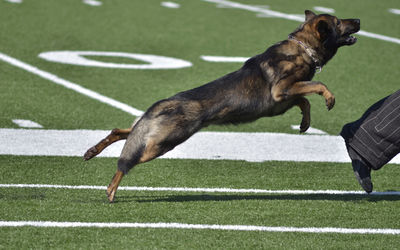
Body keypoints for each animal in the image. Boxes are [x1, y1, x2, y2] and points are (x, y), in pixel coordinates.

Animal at [83, 10, 360, 203]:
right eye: (338, 22)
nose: (358, 19)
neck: (303, 49)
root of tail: (162, 103)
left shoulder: (286, 98)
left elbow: (305, 99)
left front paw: (305, 122)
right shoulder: (282, 90)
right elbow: (318, 84)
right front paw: (329, 98)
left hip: (156, 134)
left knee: (121, 131)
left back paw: (93, 151)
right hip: (162, 143)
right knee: (126, 161)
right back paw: (111, 189)